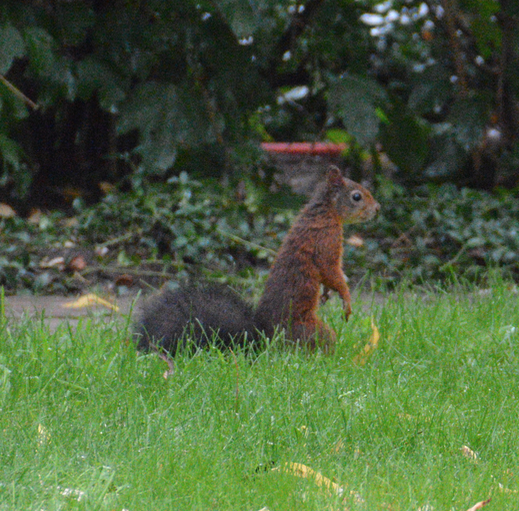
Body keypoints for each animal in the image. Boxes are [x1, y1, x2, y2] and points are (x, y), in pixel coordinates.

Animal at [136, 167, 380, 356]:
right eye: (356, 196)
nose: (377, 209)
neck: (325, 211)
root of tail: (263, 339)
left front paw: (328, 294)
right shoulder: (326, 242)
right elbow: (332, 272)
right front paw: (346, 298)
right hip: (308, 330)